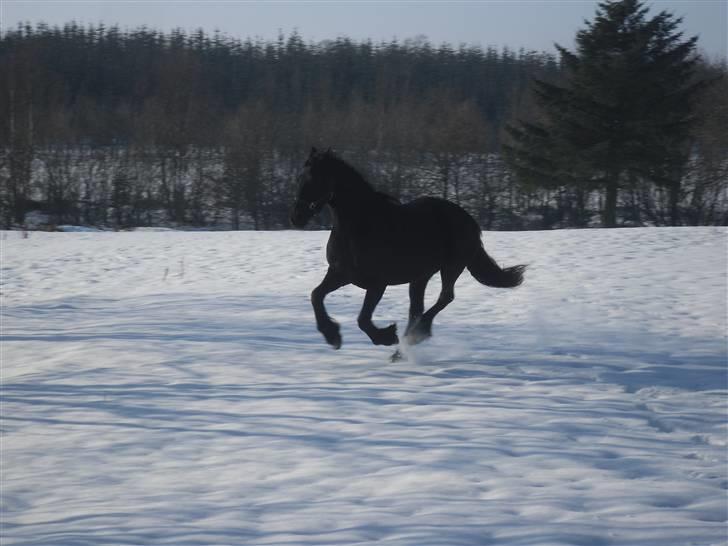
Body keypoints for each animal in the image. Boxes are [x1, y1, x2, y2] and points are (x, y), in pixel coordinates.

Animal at [290, 147, 524, 356]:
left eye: (315, 179)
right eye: (300, 178)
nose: (296, 217)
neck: (357, 226)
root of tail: (468, 219)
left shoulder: (377, 284)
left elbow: (363, 319)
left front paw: (386, 336)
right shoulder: (340, 273)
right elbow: (316, 295)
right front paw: (332, 336)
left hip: (451, 267)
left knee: (444, 298)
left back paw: (413, 338)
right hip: (420, 277)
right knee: (417, 309)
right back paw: (404, 348)